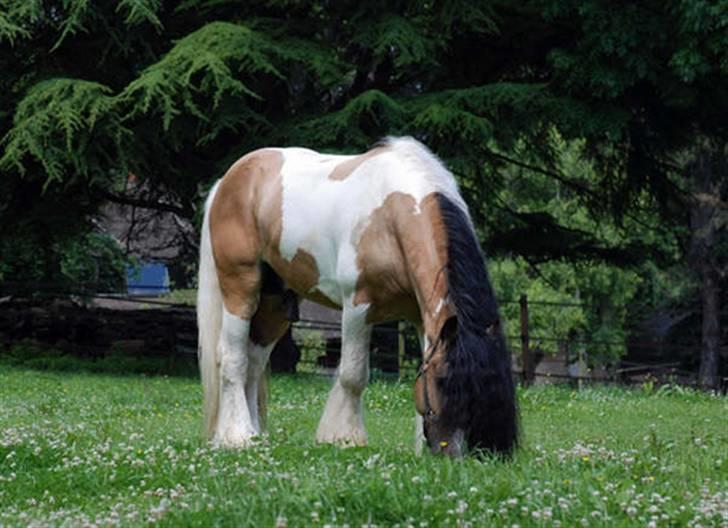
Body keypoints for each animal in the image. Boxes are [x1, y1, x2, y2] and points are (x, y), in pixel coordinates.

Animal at [199, 137, 516, 458]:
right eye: (442, 383)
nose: (451, 455)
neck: (389, 216)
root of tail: (227, 181)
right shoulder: (357, 308)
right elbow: (353, 375)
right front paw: (345, 437)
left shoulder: (423, 318)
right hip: (241, 288)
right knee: (233, 358)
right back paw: (237, 436)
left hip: (274, 306)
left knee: (253, 363)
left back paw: (256, 436)